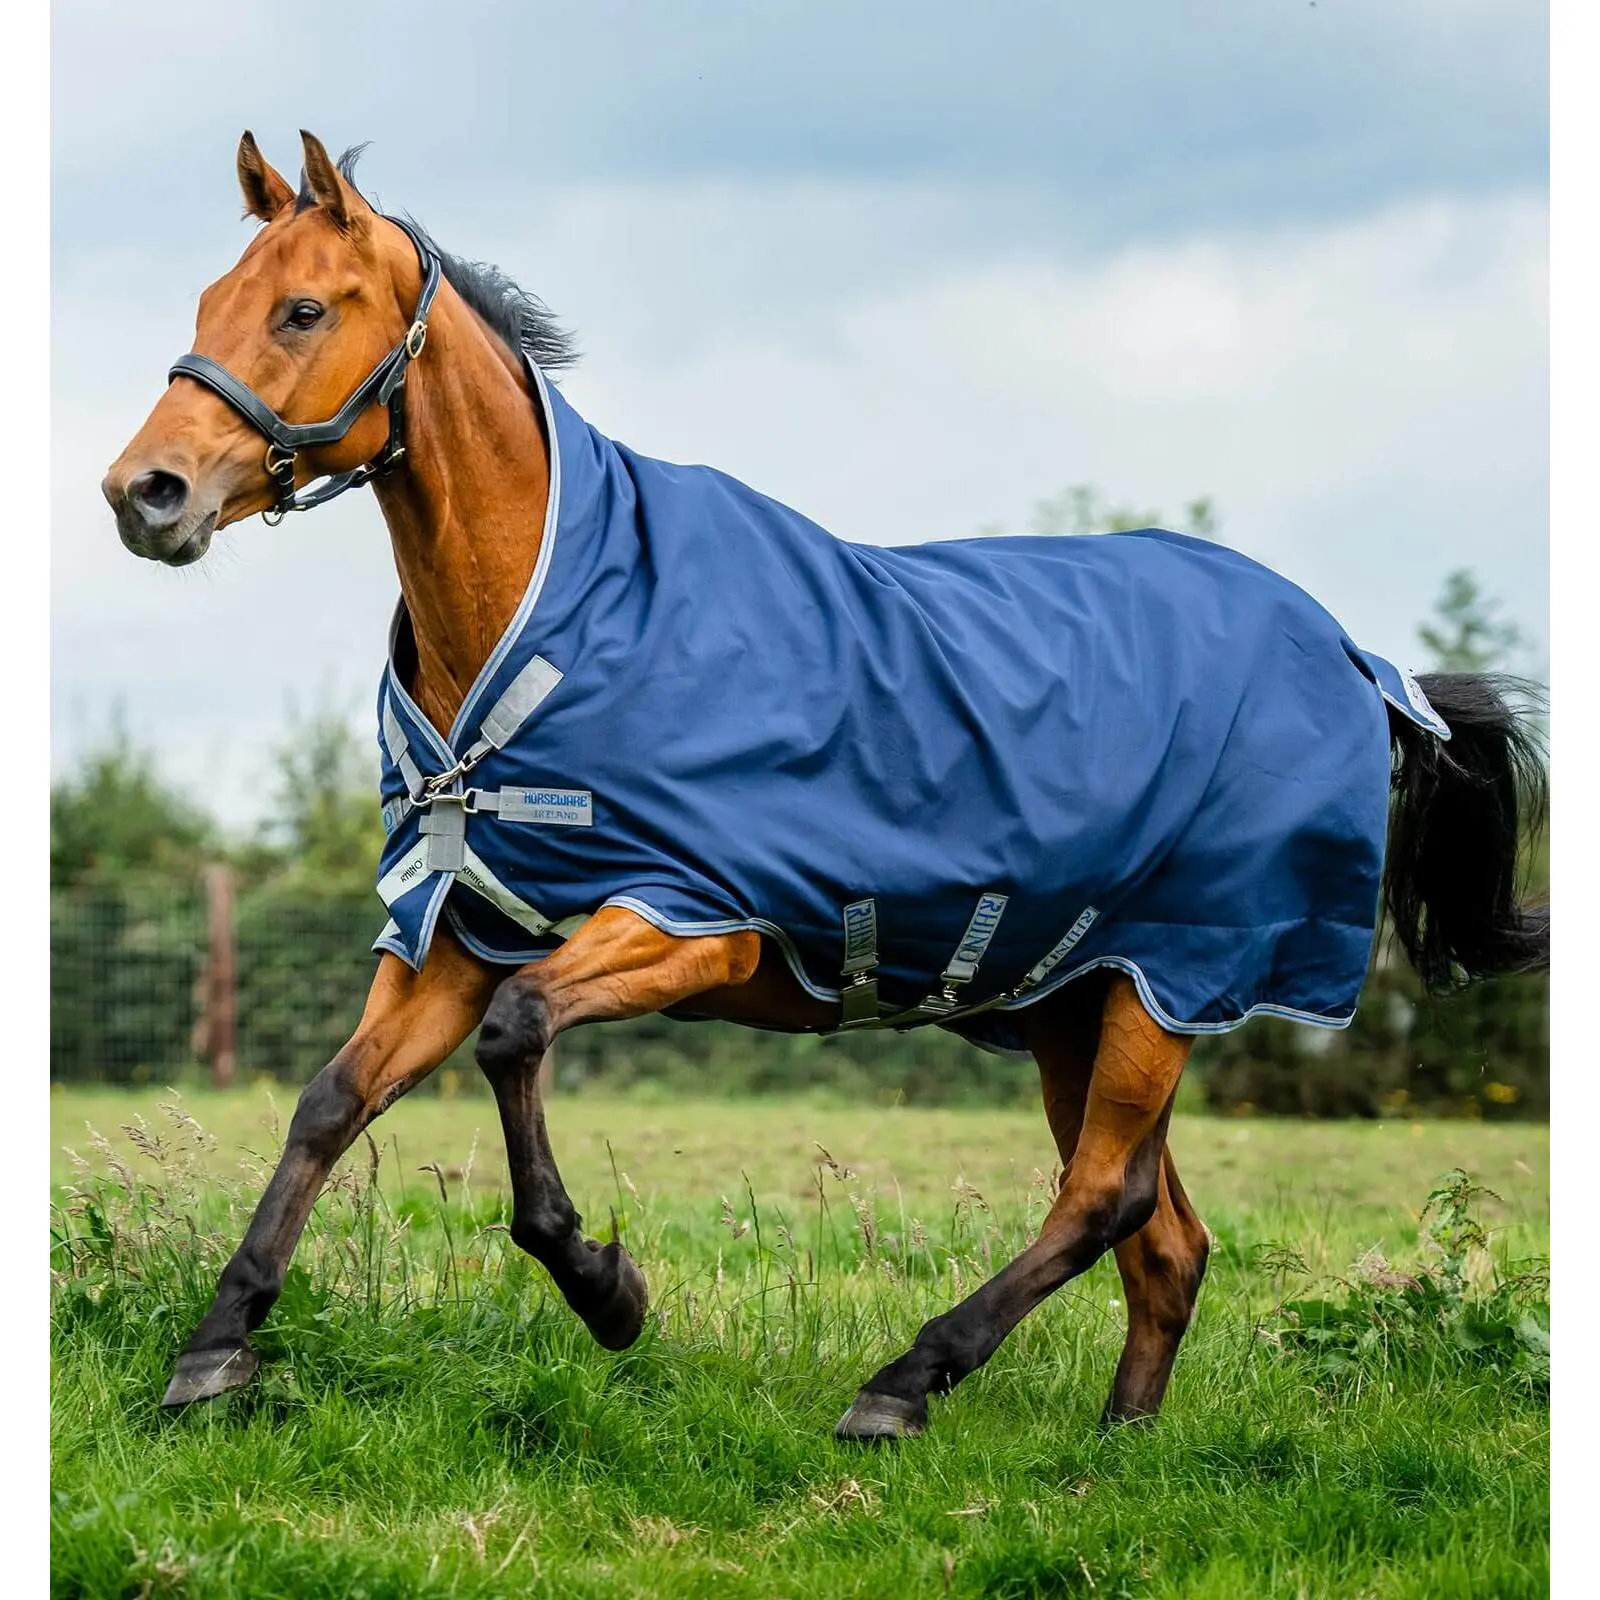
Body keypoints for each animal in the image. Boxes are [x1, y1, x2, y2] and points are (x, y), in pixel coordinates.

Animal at [102, 131, 1548, 1442]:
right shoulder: (460, 929)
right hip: (1082, 1005)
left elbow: (518, 1034)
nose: (143, 494)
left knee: (1106, 1199)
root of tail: (1359, 659)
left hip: (1173, 985)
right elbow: (332, 1100)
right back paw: (1113, 1451)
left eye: (302, 308)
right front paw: (216, 1350)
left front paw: (607, 1287)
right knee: (1161, 1238)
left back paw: (904, 1383)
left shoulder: (691, 919)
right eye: (209, 303)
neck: (557, 611)